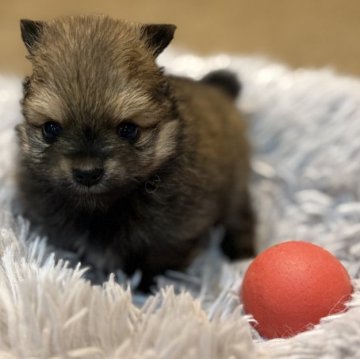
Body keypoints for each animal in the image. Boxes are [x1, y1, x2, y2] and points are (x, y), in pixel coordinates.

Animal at [15, 16, 255, 290]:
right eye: (50, 128)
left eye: (128, 129)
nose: (87, 173)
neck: (102, 206)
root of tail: (220, 91)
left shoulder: (173, 236)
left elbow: (155, 263)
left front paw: (145, 288)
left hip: (236, 185)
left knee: (241, 215)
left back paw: (241, 254)